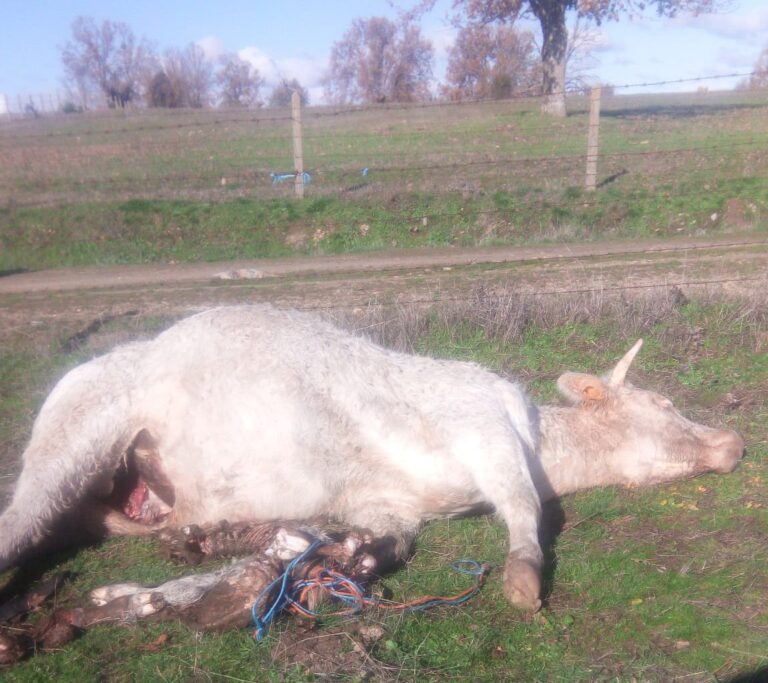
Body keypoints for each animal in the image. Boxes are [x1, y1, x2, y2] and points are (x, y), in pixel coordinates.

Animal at [0, 305, 744, 617]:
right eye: (663, 400)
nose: (735, 443)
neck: (539, 437)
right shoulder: (488, 432)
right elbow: (526, 509)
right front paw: (525, 578)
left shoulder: (387, 505)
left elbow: (369, 550)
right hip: (77, 432)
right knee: (18, 524)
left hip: (101, 504)